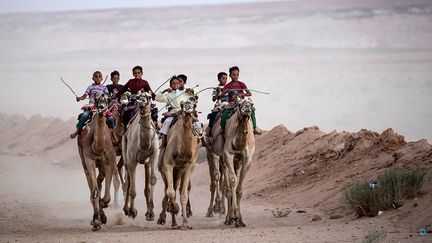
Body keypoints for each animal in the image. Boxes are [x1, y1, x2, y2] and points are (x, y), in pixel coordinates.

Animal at [76, 93, 115, 232]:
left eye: (107, 99)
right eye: (97, 99)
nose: (101, 107)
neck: (97, 147)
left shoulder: (109, 162)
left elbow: (107, 196)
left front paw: (103, 207)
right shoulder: (89, 161)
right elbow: (95, 192)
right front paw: (96, 222)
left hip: (102, 165)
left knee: (100, 182)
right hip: (83, 161)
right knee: (93, 188)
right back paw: (96, 218)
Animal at [121, 91, 159, 220]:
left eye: (148, 97)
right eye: (138, 96)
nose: (141, 104)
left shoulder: (154, 155)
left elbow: (153, 180)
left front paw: (151, 213)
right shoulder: (132, 160)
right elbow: (132, 188)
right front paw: (133, 211)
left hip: (146, 163)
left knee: (146, 184)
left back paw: (147, 212)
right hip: (125, 156)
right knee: (127, 181)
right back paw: (126, 210)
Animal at [157, 96, 199, 229]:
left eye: (194, 104)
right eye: (182, 104)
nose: (188, 107)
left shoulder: (190, 166)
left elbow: (183, 194)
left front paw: (185, 223)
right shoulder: (168, 164)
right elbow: (170, 192)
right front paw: (174, 208)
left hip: (178, 172)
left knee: (175, 188)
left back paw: (174, 222)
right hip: (163, 169)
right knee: (168, 189)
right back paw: (164, 218)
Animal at [221, 98, 255, 227]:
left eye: (252, 104)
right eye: (240, 104)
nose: (247, 108)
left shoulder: (248, 159)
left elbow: (239, 189)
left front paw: (240, 220)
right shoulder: (228, 154)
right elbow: (233, 182)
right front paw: (234, 217)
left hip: (237, 162)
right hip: (223, 160)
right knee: (227, 187)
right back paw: (228, 218)